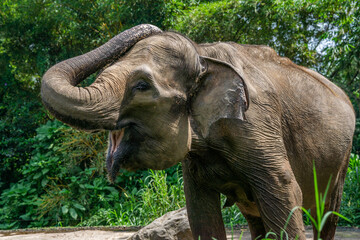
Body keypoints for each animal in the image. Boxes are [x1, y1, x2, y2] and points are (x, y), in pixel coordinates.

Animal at [41, 24, 354, 240]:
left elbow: (284, 190)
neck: (204, 55)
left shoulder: (258, 124)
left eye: (141, 86)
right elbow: (199, 208)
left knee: (326, 214)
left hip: (342, 160)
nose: (152, 26)